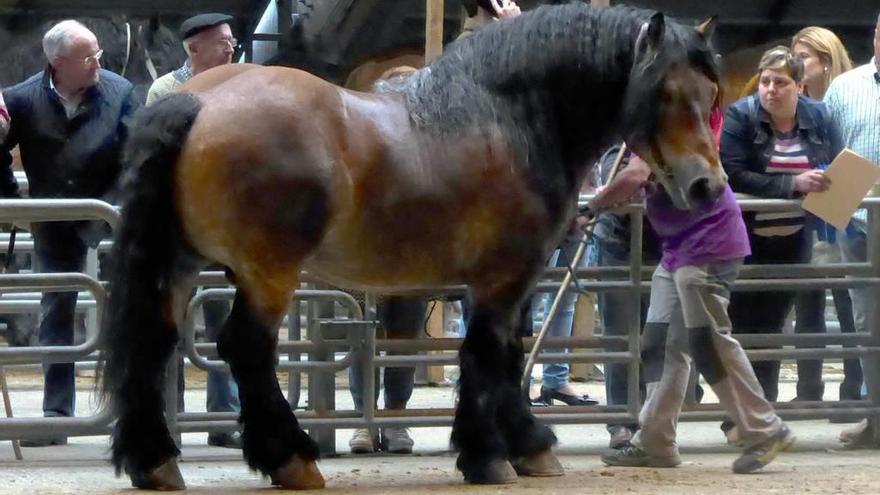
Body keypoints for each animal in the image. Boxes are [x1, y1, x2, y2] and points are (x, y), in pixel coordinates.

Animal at [99, 2, 724, 492]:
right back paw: (291, 457)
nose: (706, 186)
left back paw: (155, 461)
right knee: (246, 348)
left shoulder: (509, 280)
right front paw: (492, 454)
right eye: (664, 92)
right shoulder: (505, 276)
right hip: (267, 273)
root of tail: (201, 103)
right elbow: (489, 354)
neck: (508, 114)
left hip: (180, 262)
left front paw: (522, 446)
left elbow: (507, 353)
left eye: (712, 94)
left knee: (154, 342)